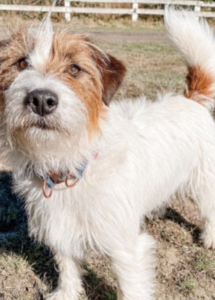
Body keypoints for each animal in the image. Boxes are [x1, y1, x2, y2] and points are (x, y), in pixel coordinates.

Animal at [0, 8, 215, 300]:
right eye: (22, 63)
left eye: (74, 69)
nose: (41, 100)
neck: (71, 164)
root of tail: (192, 99)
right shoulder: (60, 228)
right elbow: (67, 267)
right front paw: (67, 293)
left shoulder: (127, 249)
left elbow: (131, 288)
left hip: (204, 183)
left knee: (210, 209)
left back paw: (210, 238)